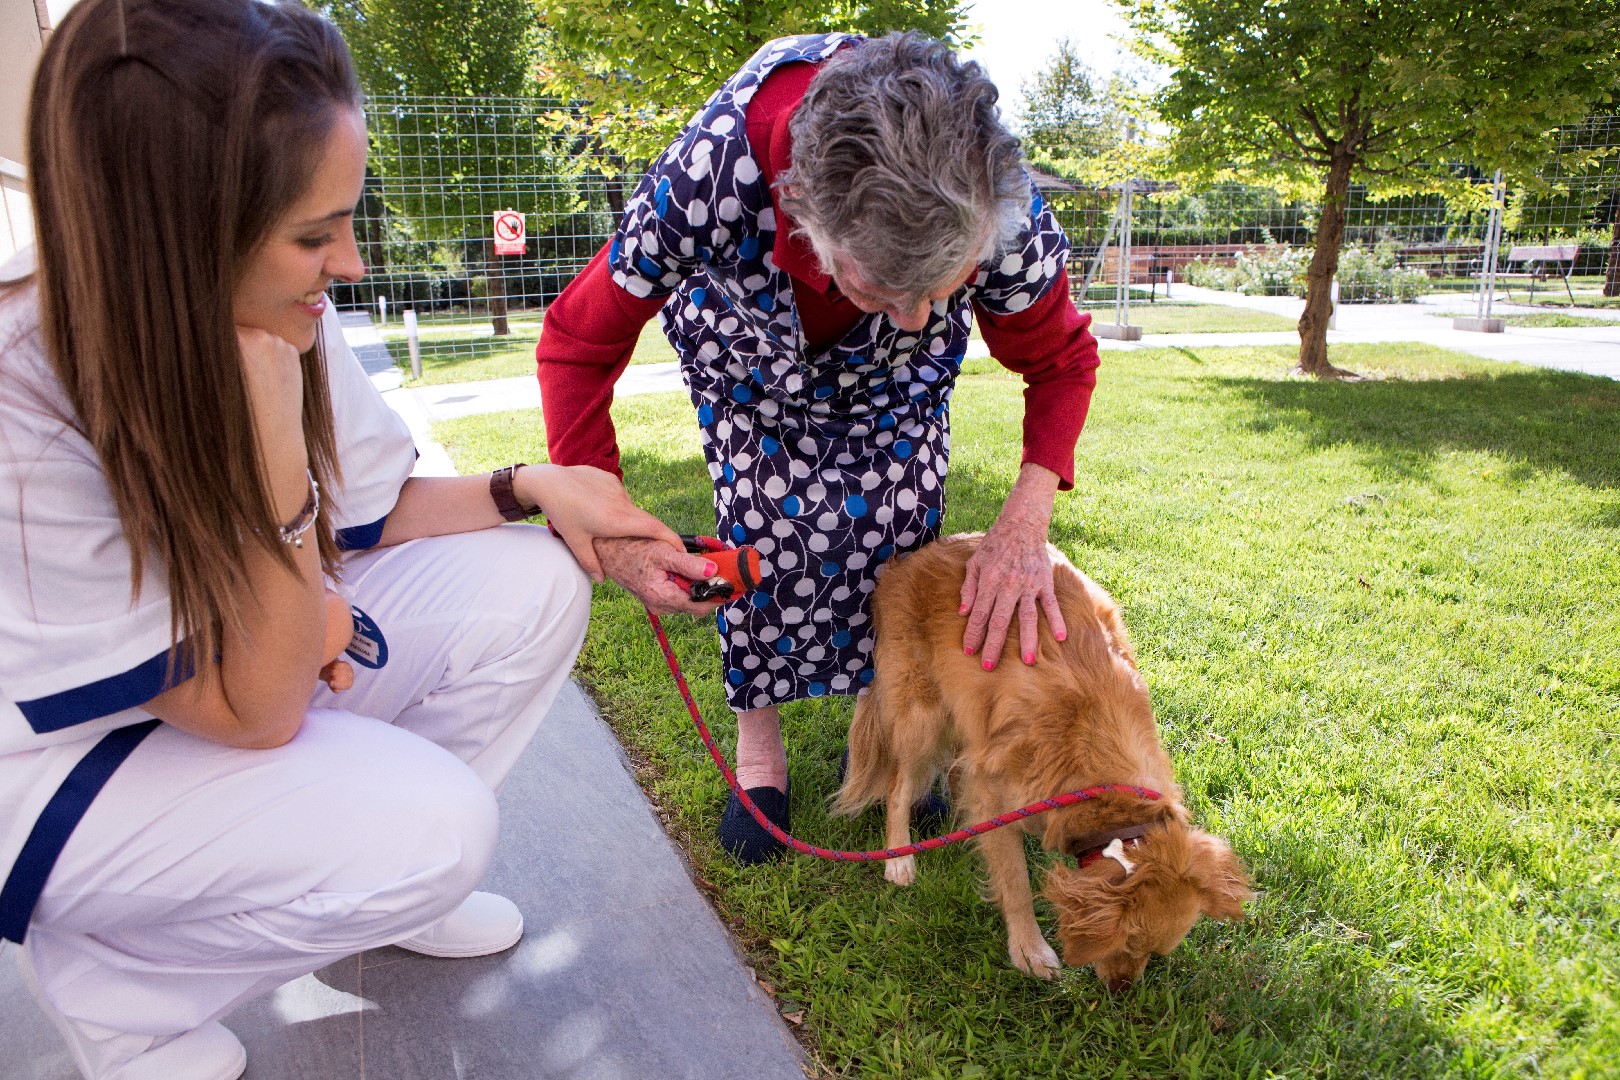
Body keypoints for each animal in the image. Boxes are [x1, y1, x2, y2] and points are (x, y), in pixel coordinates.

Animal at [835, 534, 1250, 990]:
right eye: (1126, 944)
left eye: (1153, 953)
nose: (1121, 993)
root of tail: (905, 560)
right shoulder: (997, 795)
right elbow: (1015, 881)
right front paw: (1029, 949)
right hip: (920, 715)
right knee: (898, 786)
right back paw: (899, 857)